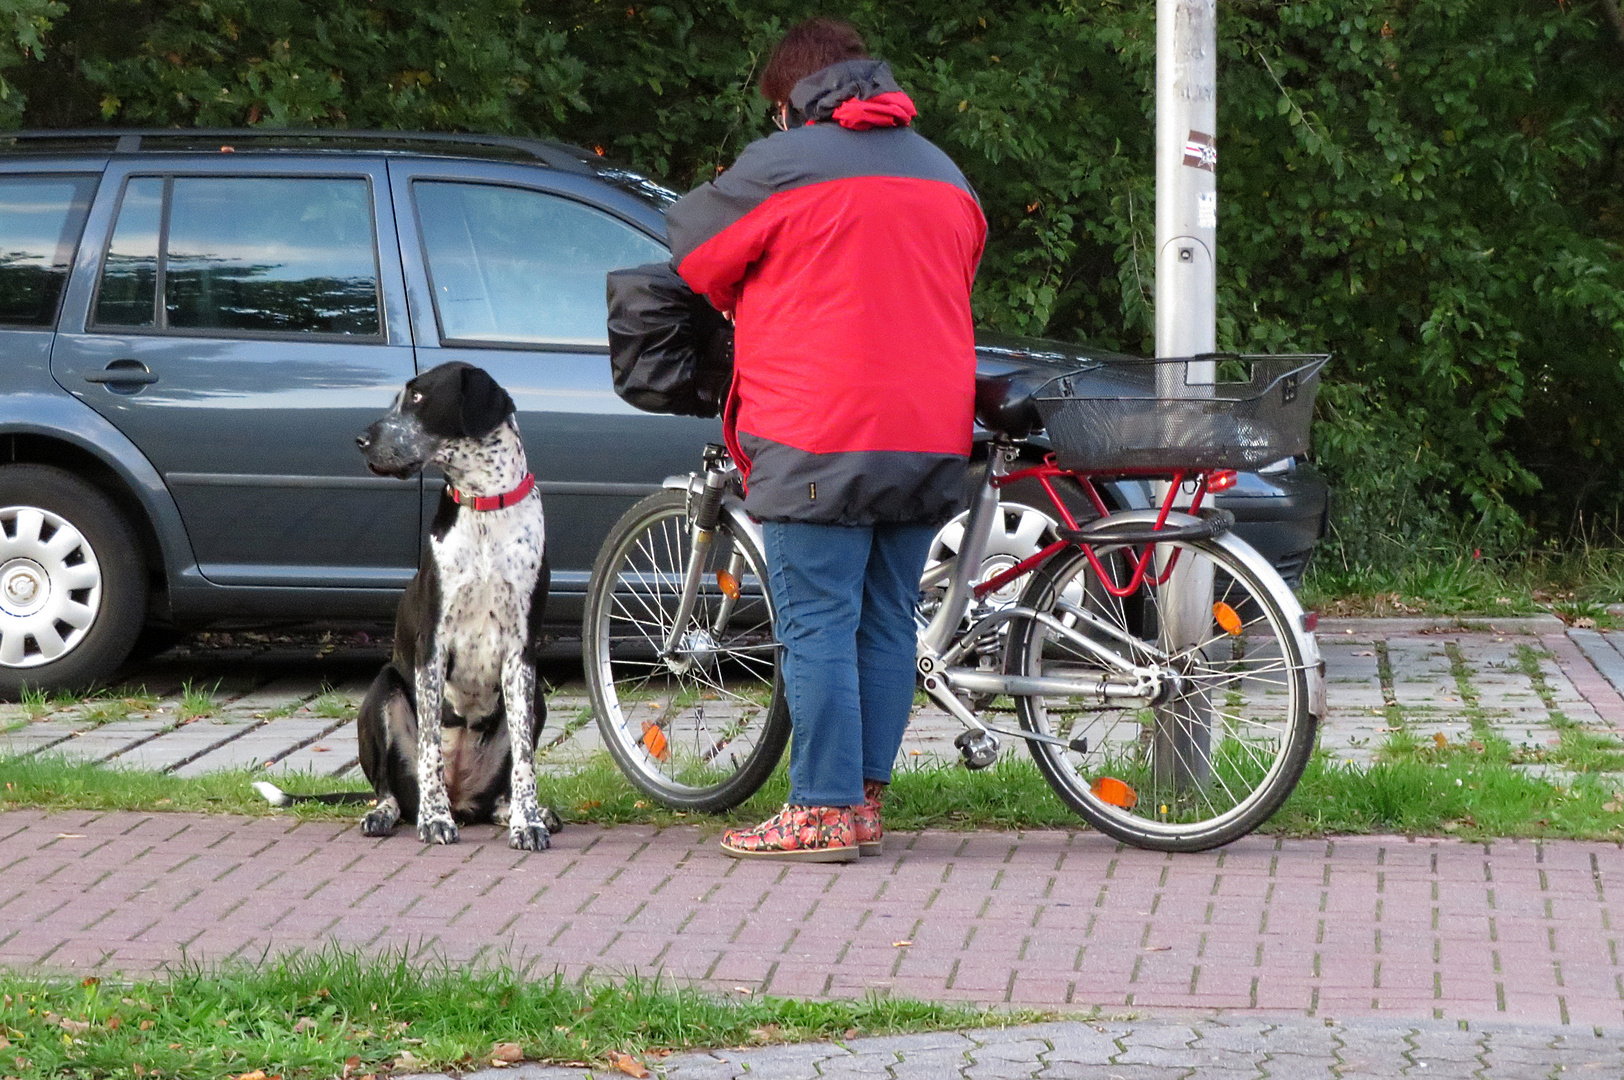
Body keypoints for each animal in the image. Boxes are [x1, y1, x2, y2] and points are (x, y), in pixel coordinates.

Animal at [349, 362, 558, 851]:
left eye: (419, 398)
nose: (361, 440)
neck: (483, 508)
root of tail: (466, 801)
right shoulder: (432, 648)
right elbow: (430, 749)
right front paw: (434, 818)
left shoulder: (521, 654)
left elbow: (525, 760)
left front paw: (528, 822)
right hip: (382, 689)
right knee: (388, 788)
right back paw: (389, 814)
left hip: (538, 696)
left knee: (501, 789)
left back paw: (519, 812)